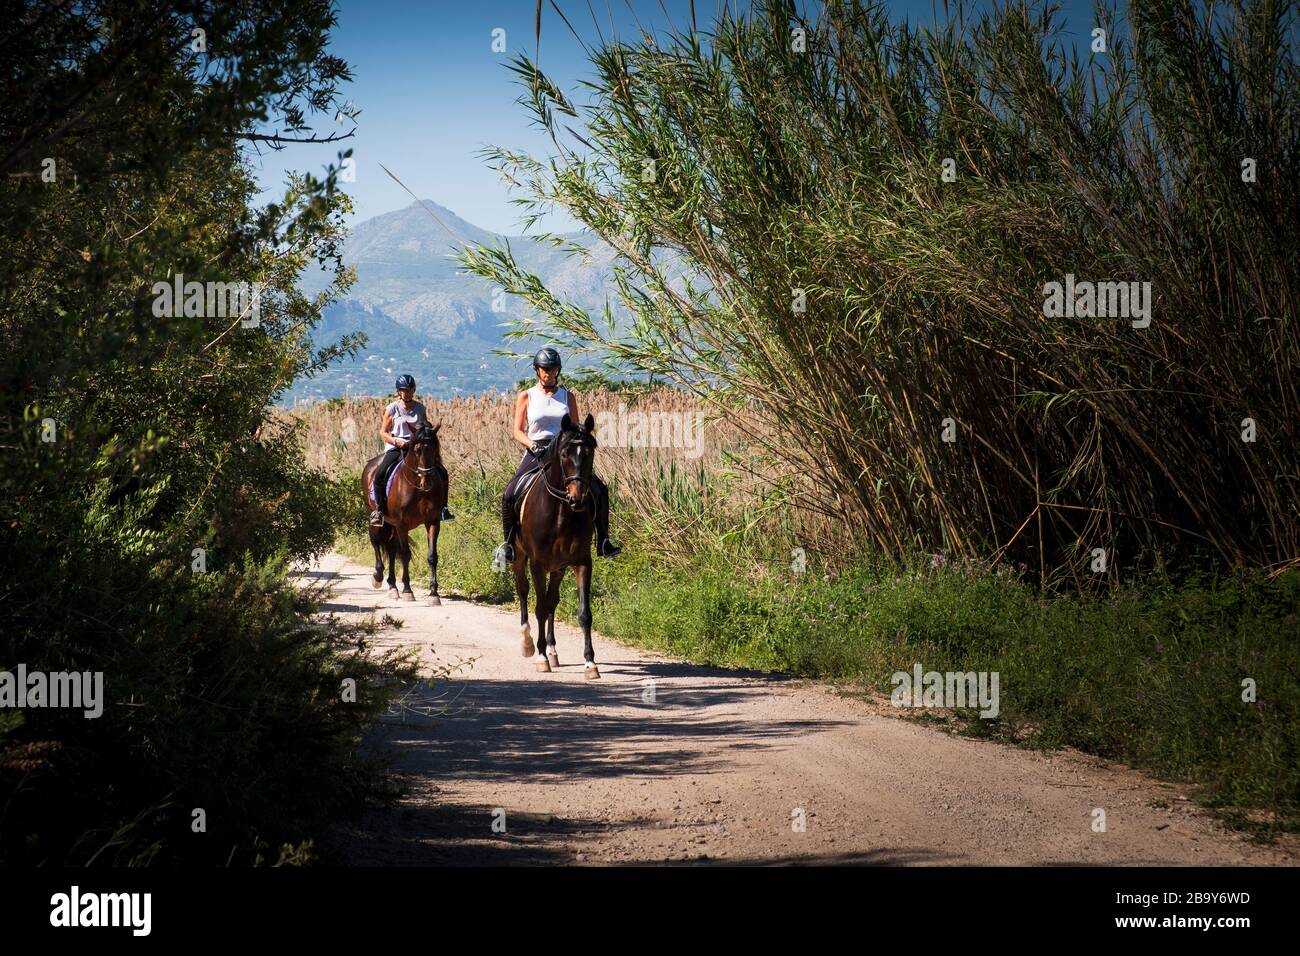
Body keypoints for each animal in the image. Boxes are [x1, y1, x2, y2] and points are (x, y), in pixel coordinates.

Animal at [364, 421, 449, 606]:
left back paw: (392, 587)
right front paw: (408, 591)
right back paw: (378, 577)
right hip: (378, 519)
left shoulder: (432, 522)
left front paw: (434, 593)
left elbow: (432, 556)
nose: (427, 482)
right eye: (416, 450)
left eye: (435, 448)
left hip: (392, 525)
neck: (418, 489)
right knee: (376, 542)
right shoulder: (402, 524)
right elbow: (405, 554)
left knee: (390, 548)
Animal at [514, 416, 600, 676]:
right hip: (519, 557)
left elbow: (584, 613)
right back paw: (528, 643)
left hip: (559, 567)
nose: (577, 499)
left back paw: (552, 651)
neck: (562, 511)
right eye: (564, 454)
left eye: (590, 452)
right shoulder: (537, 563)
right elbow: (540, 608)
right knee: (523, 590)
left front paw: (590, 662)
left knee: (553, 600)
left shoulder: (582, 562)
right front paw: (540, 657)